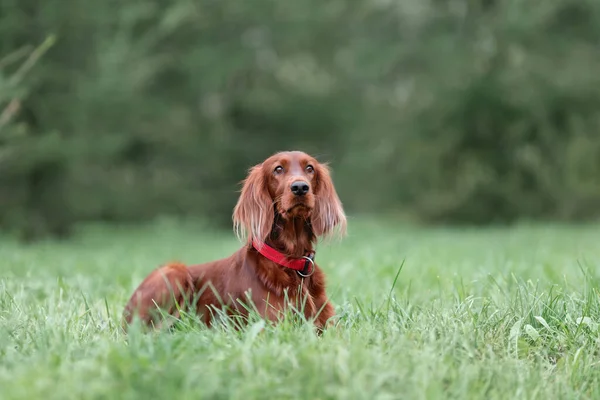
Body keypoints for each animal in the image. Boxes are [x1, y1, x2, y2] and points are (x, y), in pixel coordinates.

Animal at [122, 150, 346, 332]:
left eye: (310, 168)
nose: (300, 187)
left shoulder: (327, 326)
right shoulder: (272, 326)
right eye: (278, 169)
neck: (291, 260)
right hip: (173, 273)